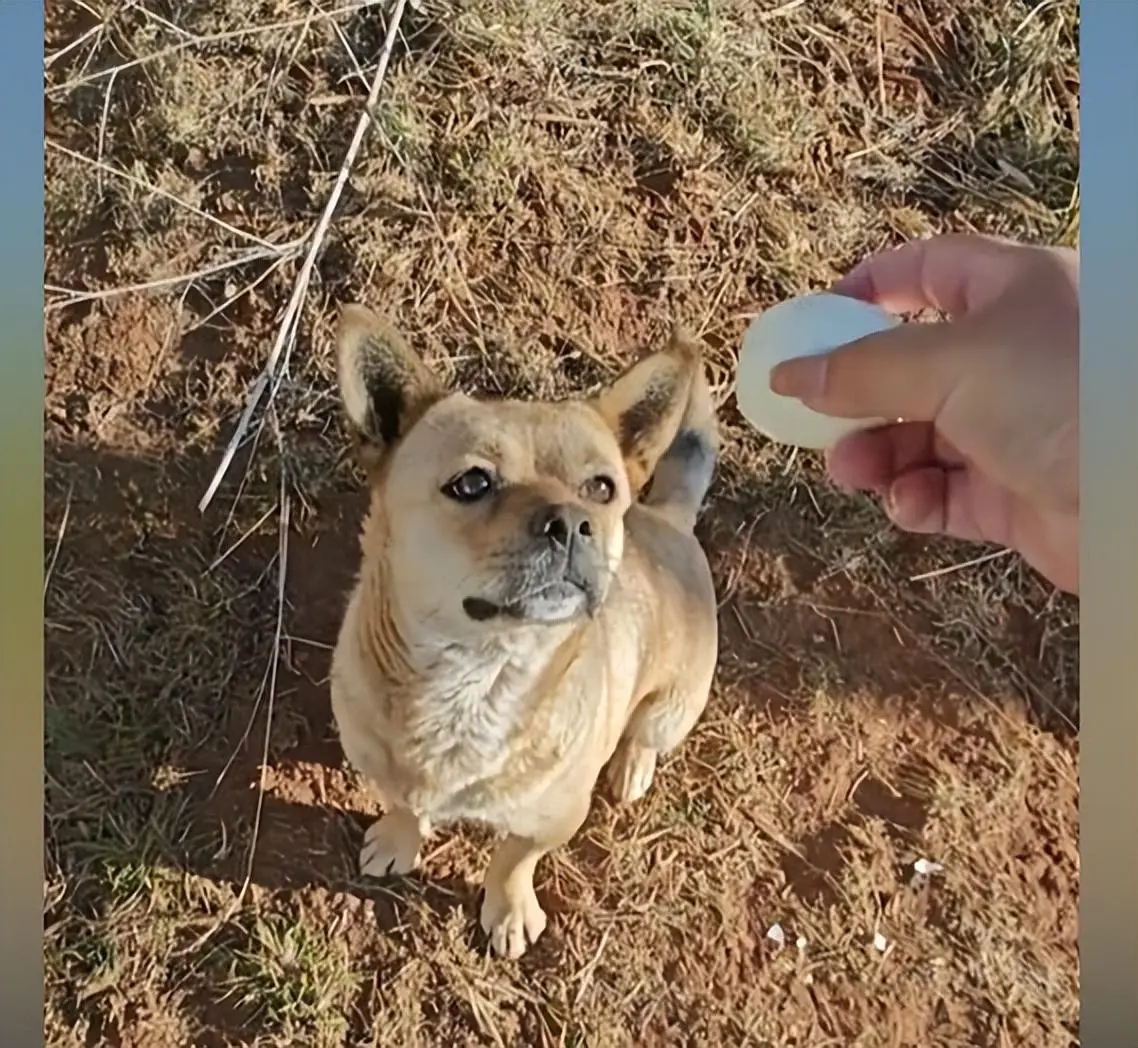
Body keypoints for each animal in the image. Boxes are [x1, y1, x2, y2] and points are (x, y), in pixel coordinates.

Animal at [330, 302, 719, 955]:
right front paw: (399, 839)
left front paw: (509, 912)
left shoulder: (551, 819)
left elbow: (513, 859)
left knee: (646, 733)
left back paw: (632, 764)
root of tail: (668, 516)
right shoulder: (378, 763)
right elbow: (404, 804)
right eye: (472, 483)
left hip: (673, 705)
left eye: (601, 487)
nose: (573, 522)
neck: (476, 676)